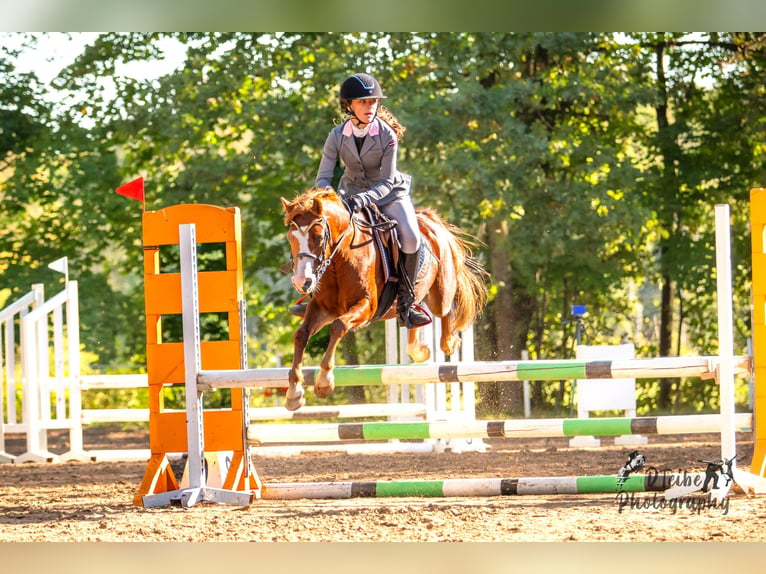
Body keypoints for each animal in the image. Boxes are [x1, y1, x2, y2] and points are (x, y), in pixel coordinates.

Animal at [280, 187, 488, 412]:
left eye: (318, 238)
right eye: (290, 239)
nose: (302, 282)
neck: (339, 259)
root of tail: (431, 219)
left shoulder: (367, 307)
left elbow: (338, 326)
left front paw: (325, 381)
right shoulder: (322, 308)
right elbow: (301, 335)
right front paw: (294, 392)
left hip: (440, 294)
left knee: (446, 310)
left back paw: (449, 342)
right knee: (413, 316)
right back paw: (419, 348)